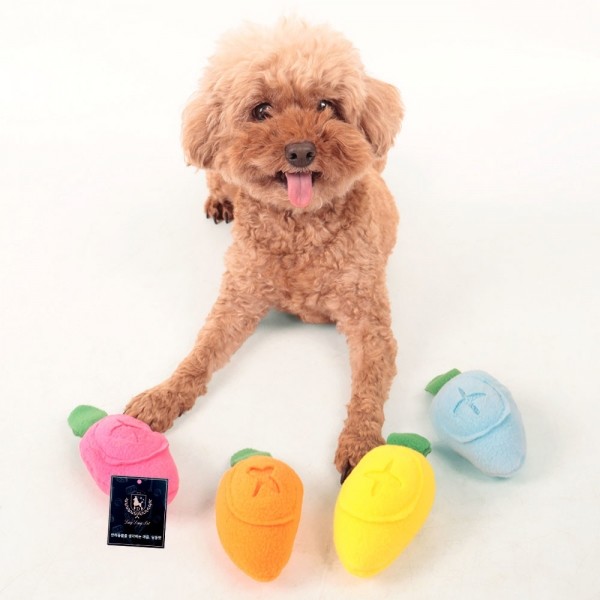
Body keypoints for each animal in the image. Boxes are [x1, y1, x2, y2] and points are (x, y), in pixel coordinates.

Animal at [125, 19, 404, 481]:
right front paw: (161, 397)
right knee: (217, 175)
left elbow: (369, 383)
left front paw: (361, 443)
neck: (301, 230)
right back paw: (221, 200)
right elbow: (199, 355)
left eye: (326, 105)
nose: (300, 151)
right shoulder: (239, 300)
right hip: (220, 172)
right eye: (260, 111)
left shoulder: (369, 319)